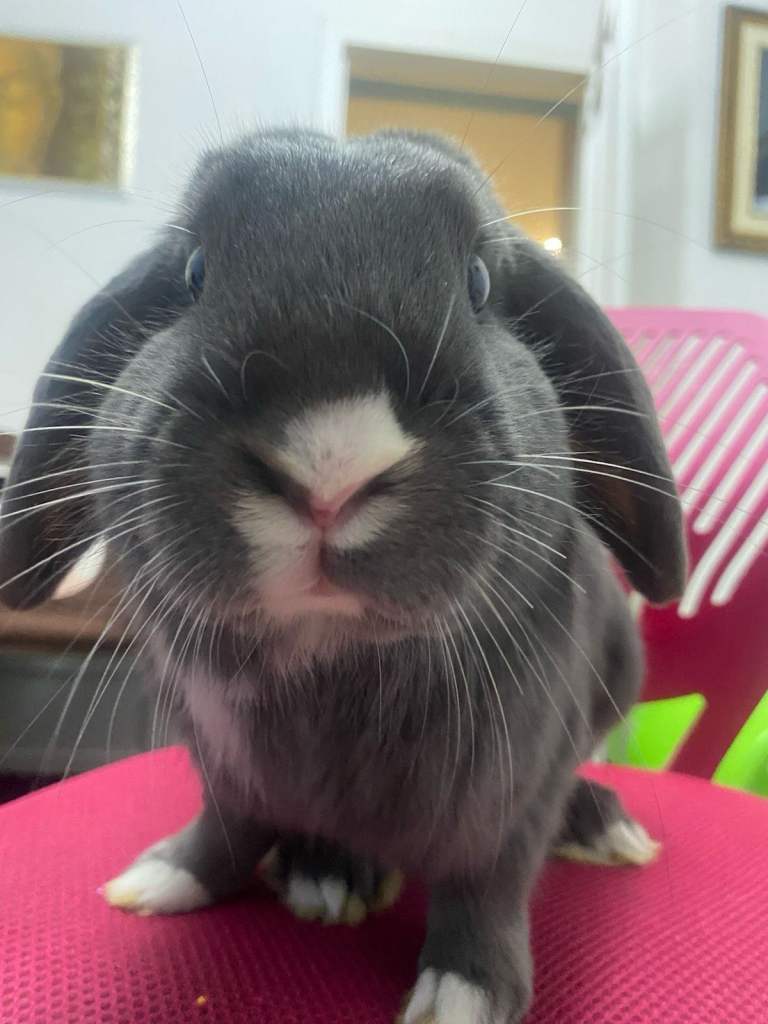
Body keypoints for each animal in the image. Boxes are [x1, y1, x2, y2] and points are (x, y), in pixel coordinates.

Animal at [0, 128, 686, 1024]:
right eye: (193, 274)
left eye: (479, 283)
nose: (330, 466)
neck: (331, 664)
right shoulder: (223, 765)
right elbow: (225, 832)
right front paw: (159, 881)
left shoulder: (515, 788)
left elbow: (489, 888)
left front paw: (463, 996)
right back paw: (329, 872)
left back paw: (603, 828)